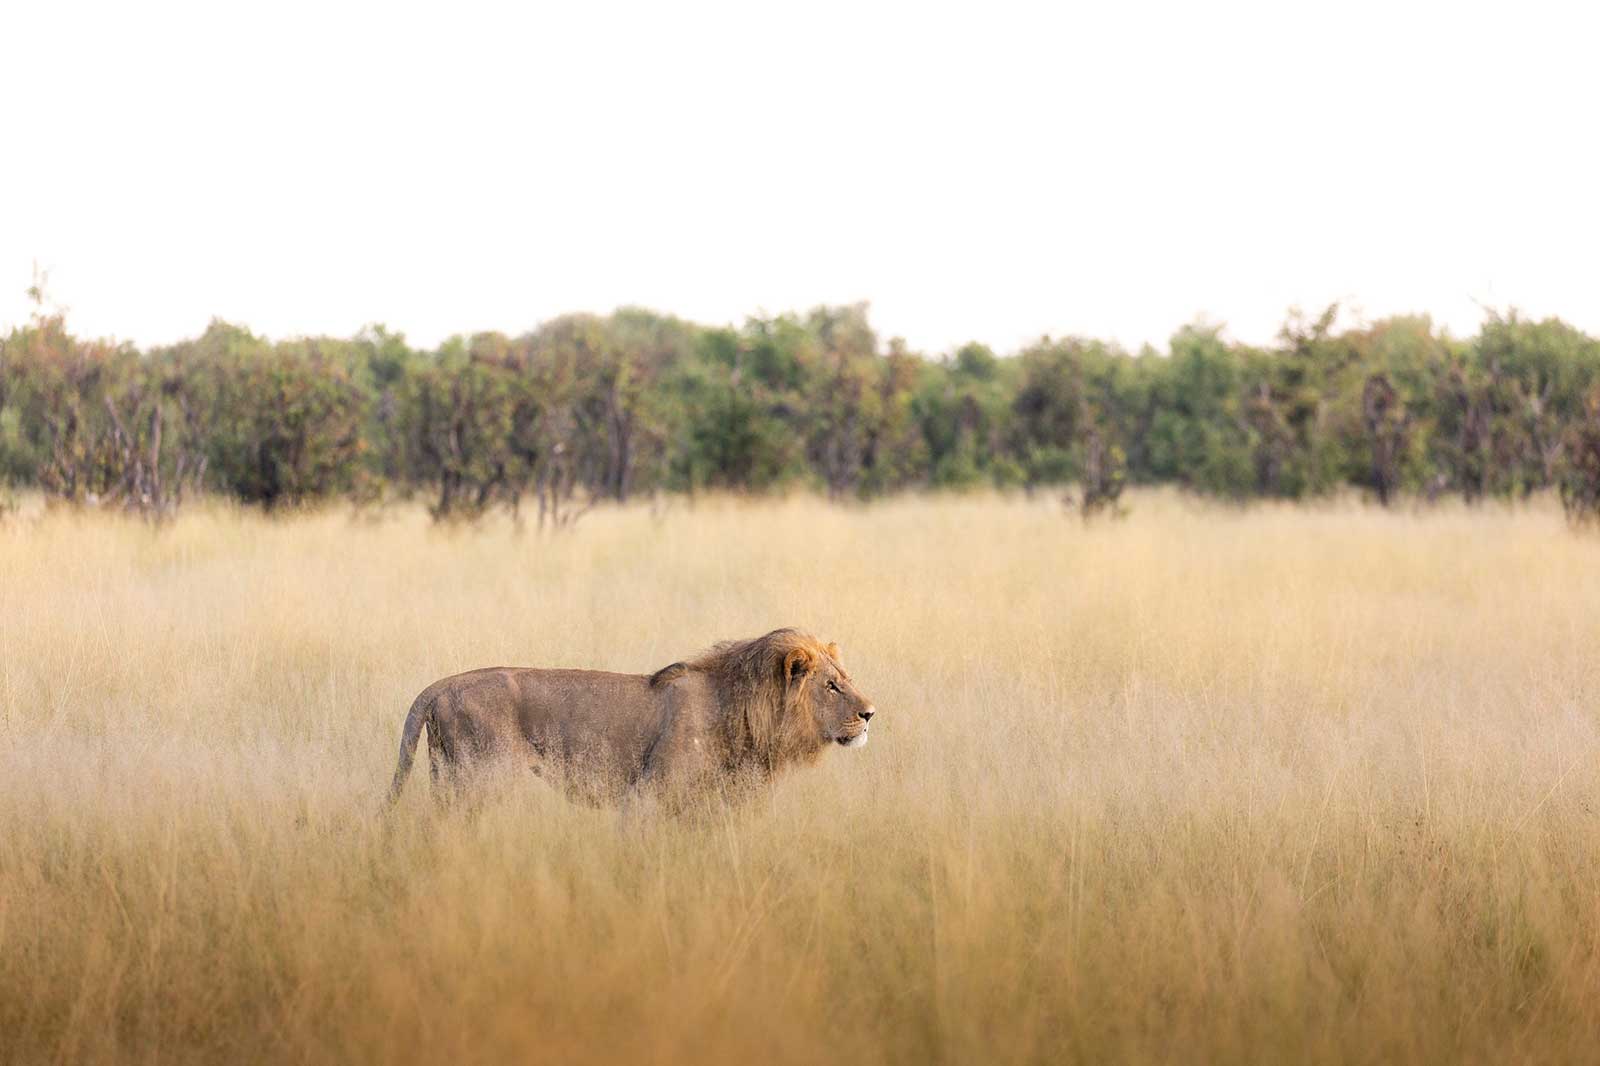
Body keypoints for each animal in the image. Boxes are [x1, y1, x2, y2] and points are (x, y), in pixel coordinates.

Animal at [387, 628, 876, 810]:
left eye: (846, 678)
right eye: (831, 686)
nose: (870, 714)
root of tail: (441, 685)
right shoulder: (647, 797)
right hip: (479, 779)